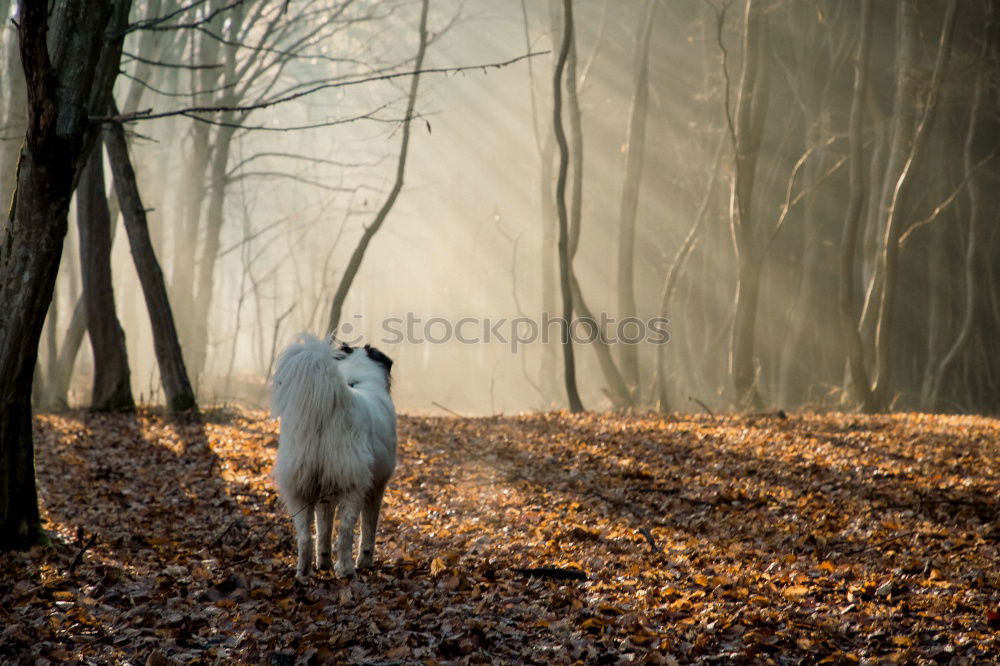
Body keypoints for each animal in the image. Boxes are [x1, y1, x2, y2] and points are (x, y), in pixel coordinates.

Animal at [274, 332, 402, 576]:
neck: (357, 379)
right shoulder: (376, 488)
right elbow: (369, 528)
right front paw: (365, 560)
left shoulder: (324, 494)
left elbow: (323, 529)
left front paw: (323, 563)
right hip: (353, 486)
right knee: (345, 532)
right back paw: (347, 570)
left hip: (299, 488)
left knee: (305, 536)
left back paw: (303, 572)